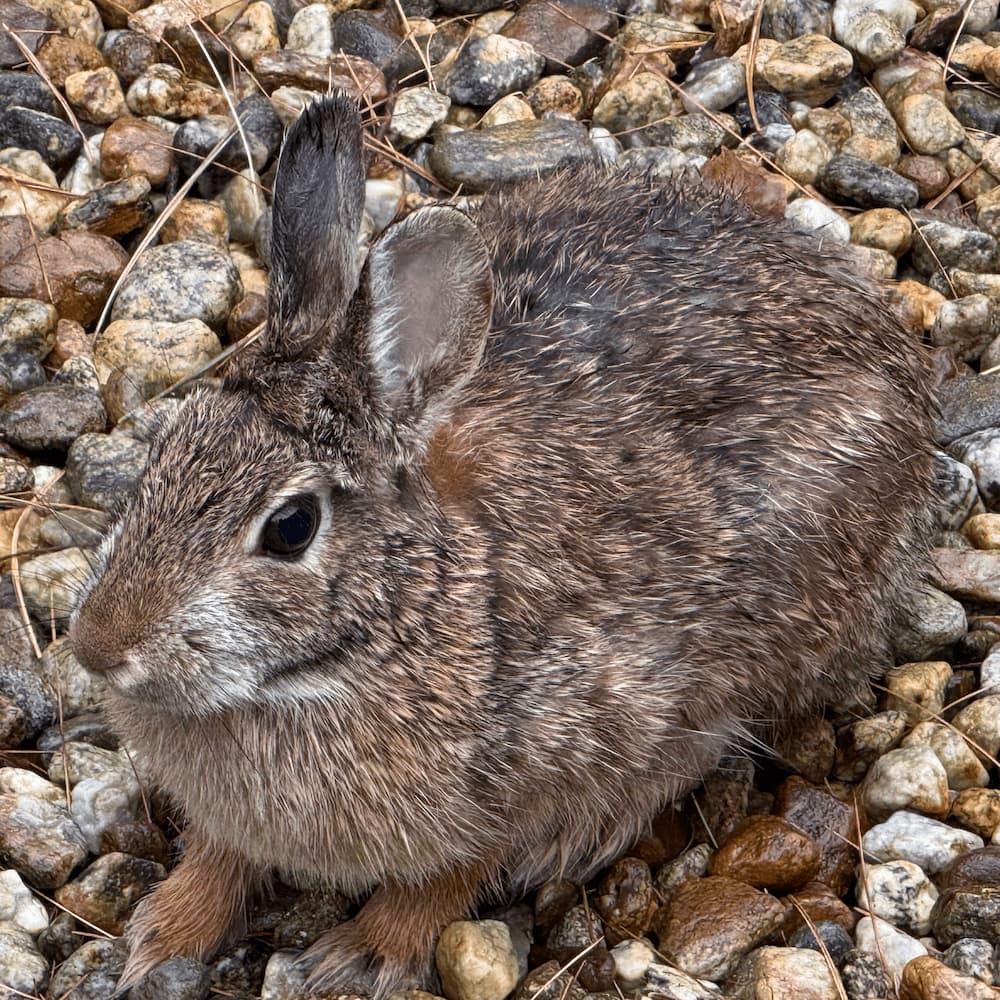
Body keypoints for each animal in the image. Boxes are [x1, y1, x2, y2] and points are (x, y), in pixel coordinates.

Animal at [70, 93, 935, 996]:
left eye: (291, 527)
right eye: (166, 446)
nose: (98, 648)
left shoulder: (557, 759)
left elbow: (451, 876)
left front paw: (359, 958)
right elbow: (220, 856)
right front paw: (163, 937)